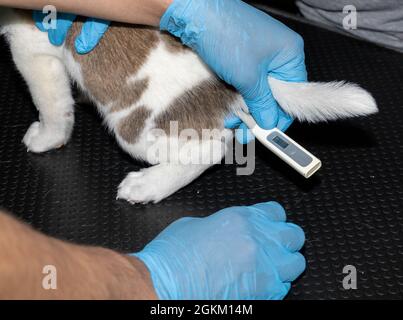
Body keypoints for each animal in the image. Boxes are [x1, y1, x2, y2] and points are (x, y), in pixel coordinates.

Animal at [0, 10, 378, 205]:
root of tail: (227, 84)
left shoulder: (31, 49)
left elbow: (51, 105)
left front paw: (47, 137)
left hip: (136, 129)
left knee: (210, 149)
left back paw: (148, 186)